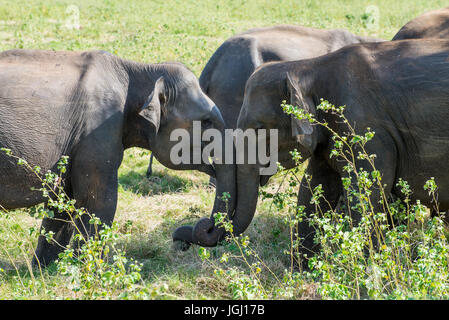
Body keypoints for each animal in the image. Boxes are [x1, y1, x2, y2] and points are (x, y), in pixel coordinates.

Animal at [0, 49, 236, 264]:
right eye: (207, 122)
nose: (181, 242)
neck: (138, 69)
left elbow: (64, 201)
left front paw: (45, 270)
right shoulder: (98, 131)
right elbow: (99, 200)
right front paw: (88, 270)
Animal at [178, 39, 449, 255]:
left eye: (258, 128)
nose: (184, 238)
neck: (309, 66)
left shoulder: (368, 129)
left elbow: (367, 192)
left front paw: (366, 271)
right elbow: (315, 188)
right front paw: (301, 269)